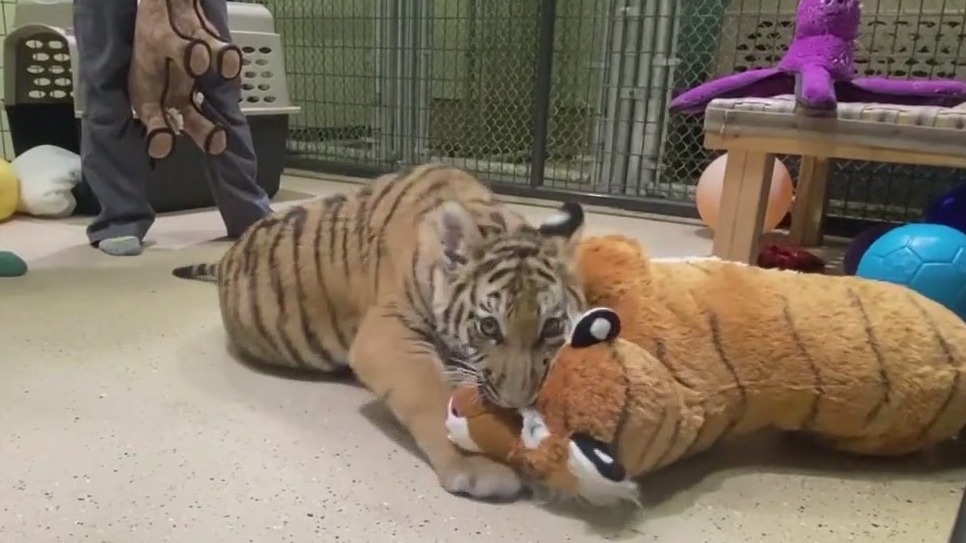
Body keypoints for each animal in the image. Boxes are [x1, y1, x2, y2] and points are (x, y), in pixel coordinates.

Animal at [171, 163, 587, 500]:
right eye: (489, 326)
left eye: (551, 326)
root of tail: (226, 258)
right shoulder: (387, 333)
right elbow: (430, 394)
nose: (516, 403)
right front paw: (478, 467)